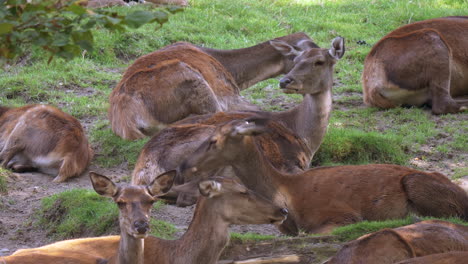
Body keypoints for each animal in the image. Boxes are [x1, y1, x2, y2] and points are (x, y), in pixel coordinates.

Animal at [130, 36, 346, 208]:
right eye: (296, 60)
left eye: (319, 61)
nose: (285, 81)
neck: (304, 137)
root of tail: (144, 166)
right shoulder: (286, 162)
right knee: (187, 192)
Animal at [177, 119, 468, 235]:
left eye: (213, 141)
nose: (183, 166)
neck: (286, 192)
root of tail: (462, 195)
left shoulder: (341, 214)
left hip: (418, 183)